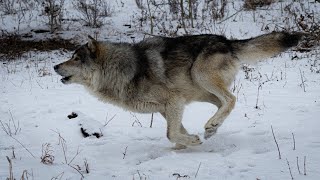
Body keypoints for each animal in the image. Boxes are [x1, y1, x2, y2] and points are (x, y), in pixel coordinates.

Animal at [54, 32, 302, 149]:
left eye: (75, 58)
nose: (55, 66)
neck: (124, 69)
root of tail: (227, 41)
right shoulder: (168, 108)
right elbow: (176, 132)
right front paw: (187, 144)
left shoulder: (173, 101)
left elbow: (170, 134)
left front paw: (193, 142)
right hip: (201, 92)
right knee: (223, 103)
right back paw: (212, 129)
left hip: (201, 76)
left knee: (232, 99)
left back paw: (211, 126)